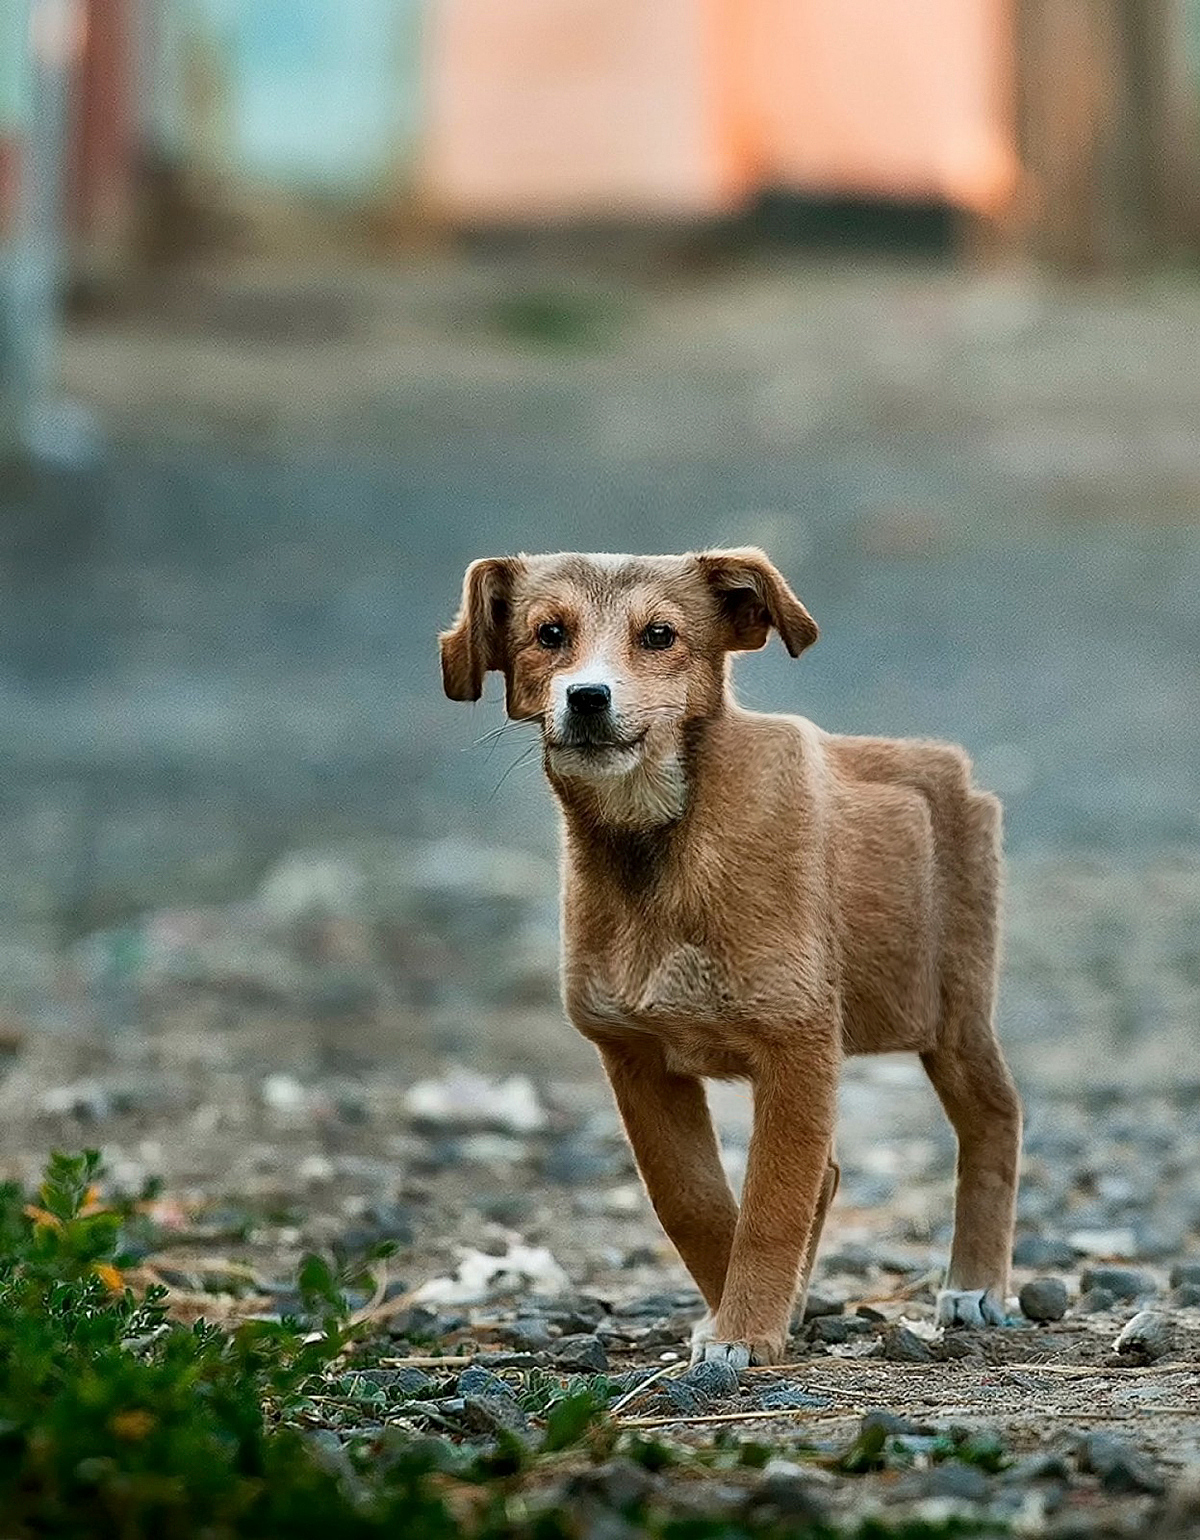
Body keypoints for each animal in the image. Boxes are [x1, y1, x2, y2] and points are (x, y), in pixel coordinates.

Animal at [440, 548, 1022, 1367]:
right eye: (549, 634)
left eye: (659, 635)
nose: (588, 697)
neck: (658, 843)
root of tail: (948, 765)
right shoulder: (635, 1056)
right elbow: (695, 1203)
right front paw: (743, 1318)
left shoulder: (797, 1045)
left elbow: (770, 1205)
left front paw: (744, 1329)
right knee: (829, 1172)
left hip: (955, 1013)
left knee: (995, 1120)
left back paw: (976, 1285)